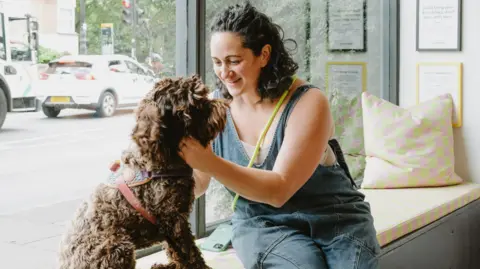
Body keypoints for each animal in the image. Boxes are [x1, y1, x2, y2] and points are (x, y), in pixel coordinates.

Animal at [57, 75, 227, 268]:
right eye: (196, 103)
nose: (223, 106)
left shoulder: (172, 223)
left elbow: (175, 252)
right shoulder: (174, 221)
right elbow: (189, 253)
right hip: (117, 246)